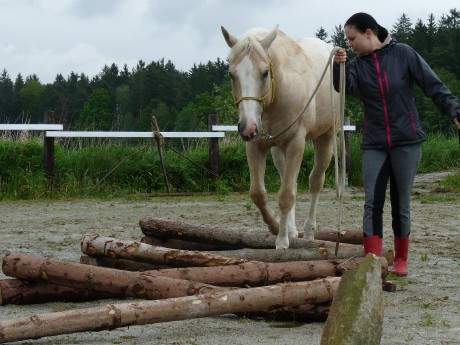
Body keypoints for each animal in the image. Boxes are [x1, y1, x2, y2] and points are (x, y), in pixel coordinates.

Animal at [221, 25, 340, 249]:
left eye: (265, 72)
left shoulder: (296, 143)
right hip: (278, 149)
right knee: (288, 179)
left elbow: (286, 195)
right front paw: (276, 227)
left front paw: (282, 241)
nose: (248, 128)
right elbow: (258, 193)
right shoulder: (256, 146)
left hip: (325, 138)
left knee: (315, 181)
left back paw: (309, 232)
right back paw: (292, 230)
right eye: (231, 74)